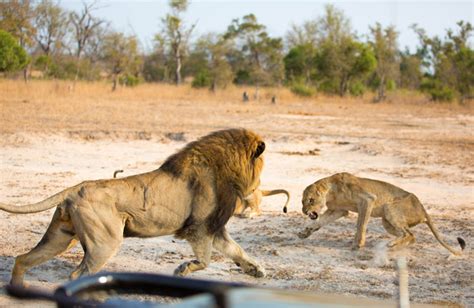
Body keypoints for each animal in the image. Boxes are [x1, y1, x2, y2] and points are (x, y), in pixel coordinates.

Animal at [0, 128, 266, 286]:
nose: (258, 186)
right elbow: (206, 259)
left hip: (61, 237)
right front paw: (182, 269)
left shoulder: (214, 227)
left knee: (23, 258)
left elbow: (237, 251)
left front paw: (256, 270)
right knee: (77, 274)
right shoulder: (200, 227)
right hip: (104, 242)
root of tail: (75, 188)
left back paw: (18, 289)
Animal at [298, 173, 464, 255]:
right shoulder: (339, 210)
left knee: (409, 234)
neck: (331, 191)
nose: (305, 211)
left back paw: (391, 245)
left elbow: (361, 225)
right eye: (302, 201)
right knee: (410, 236)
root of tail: (422, 208)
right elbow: (319, 222)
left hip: (390, 208)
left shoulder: (367, 200)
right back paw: (393, 245)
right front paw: (304, 233)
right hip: (386, 221)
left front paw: (357, 244)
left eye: (311, 200)